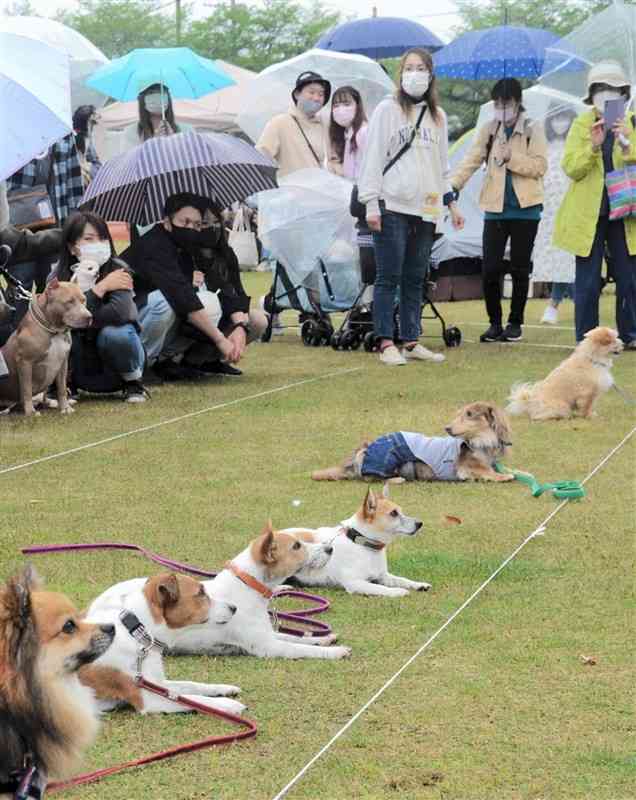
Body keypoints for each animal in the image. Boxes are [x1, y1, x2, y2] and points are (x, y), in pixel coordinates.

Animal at [0, 278, 92, 416]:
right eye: (69, 302)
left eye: (83, 300)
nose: (89, 317)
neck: (55, 330)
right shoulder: (25, 362)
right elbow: (26, 389)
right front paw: (30, 412)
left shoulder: (63, 362)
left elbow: (62, 387)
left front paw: (65, 407)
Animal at [79, 572, 246, 716]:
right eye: (200, 593)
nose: (234, 608)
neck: (136, 633)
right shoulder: (151, 699)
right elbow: (195, 699)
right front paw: (228, 704)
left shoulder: (156, 683)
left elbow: (191, 685)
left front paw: (224, 688)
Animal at [166, 520, 350, 660]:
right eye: (296, 546)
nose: (330, 549)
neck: (248, 584)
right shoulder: (268, 646)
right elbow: (300, 648)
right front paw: (334, 651)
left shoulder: (268, 634)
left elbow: (293, 637)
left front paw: (323, 639)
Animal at [282, 484, 428, 596]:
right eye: (393, 513)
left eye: (400, 511)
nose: (420, 523)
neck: (363, 544)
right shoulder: (355, 583)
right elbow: (380, 588)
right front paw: (397, 591)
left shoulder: (383, 576)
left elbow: (401, 579)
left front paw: (418, 584)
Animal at [310, 404, 516, 484]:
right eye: (460, 414)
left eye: (470, 414)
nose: (447, 428)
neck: (481, 441)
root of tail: (363, 449)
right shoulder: (467, 467)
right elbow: (487, 472)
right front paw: (504, 476)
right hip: (389, 458)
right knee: (373, 479)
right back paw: (397, 479)